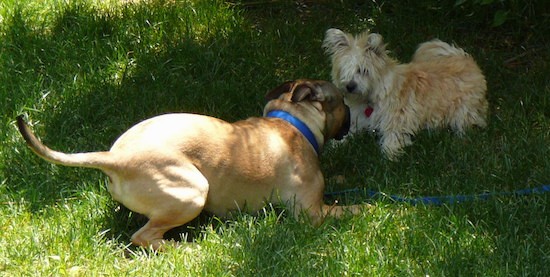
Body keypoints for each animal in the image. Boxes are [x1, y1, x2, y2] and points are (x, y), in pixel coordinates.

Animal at [16, 78, 366, 249]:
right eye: (343, 102)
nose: (352, 111)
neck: (293, 121)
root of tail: (116, 158)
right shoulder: (312, 214)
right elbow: (351, 209)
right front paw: (371, 208)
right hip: (193, 191)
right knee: (144, 237)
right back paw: (182, 248)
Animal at [322, 28, 490, 158]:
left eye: (363, 70)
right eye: (344, 69)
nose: (349, 86)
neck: (373, 95)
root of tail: (467, 60)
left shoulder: (398, 119)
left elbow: (392, 137)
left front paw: (388, 155)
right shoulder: (357, 120)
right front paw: (334, 147)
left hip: (463, 111)